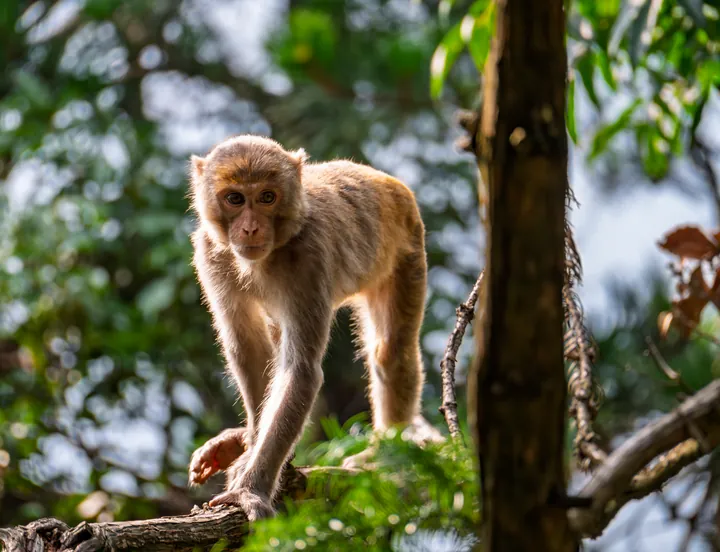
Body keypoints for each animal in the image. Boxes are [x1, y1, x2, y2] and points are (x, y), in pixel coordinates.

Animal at [186, 134, 437, 520]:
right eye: (235, 199)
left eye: (267, 197)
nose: (250, 228)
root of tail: (388, 181)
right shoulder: (211, 255)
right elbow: (250, 353)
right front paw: (251, 450)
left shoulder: (310, 258)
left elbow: (300, 371)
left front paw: (249, 490)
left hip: (406, 248)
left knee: (390, 351)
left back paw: (384, 455)